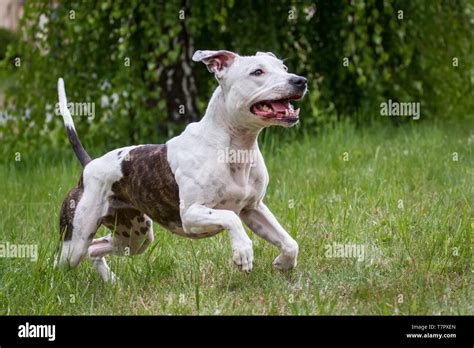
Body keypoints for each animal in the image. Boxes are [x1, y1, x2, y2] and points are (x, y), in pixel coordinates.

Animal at [55, 49, 308, 282]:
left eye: (284, 68)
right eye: (257, 72)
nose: (300, 80)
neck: (236, 147)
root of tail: (89, 166)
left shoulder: (253, 208)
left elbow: (290, 242)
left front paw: (283, 263)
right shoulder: (191, 215)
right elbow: (230, 218)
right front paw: (242, 252)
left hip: (135, 236)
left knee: (95, 248)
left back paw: (110, 281)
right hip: (76, 241)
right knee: (62, 261)